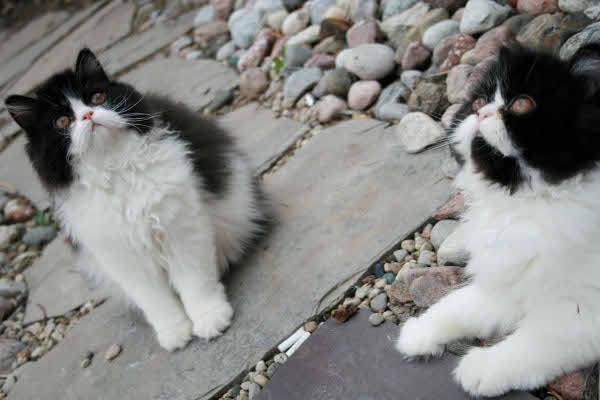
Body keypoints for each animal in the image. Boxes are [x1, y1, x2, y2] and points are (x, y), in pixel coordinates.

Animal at [5, 48, 268, 352]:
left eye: (97, 98)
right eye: (62, 122)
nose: (89, 115)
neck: (114, 168)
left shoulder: (180, 227)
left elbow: (195, 281)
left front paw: (209, 317)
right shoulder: (121, 255)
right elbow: (154, 299)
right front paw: (174, 332)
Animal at [396, 44, 600, 396]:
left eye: (522, 104)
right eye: (478, 103)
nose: (481, 114)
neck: (525, 202)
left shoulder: (580, 312)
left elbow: (532, 344)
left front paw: (478, 369)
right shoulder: (508, 281)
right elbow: (456, 304)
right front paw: (419, 333)